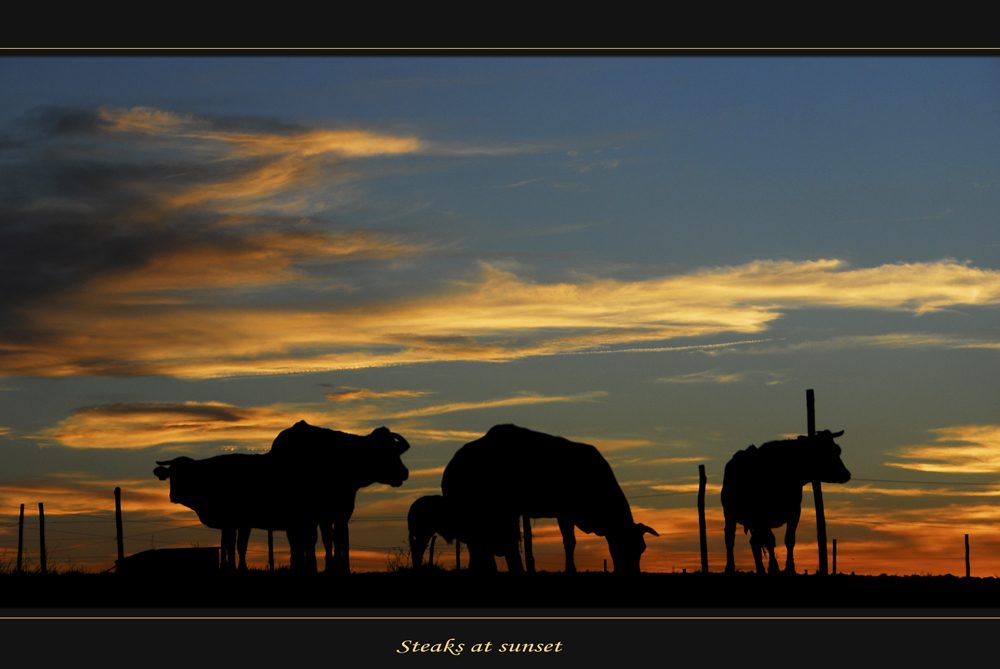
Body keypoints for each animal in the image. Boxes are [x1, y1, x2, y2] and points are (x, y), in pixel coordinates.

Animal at [153, 420, 410, 572]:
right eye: (173, 475)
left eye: (394, 451)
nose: (404, 472)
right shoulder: (239, 522)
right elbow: (233, 545)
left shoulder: (331, 514)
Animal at [442, 422, 660, 576]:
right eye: (628, 546)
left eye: (642, 548)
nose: (633, 573)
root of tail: (452, 464)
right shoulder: (565, 512)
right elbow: (570, 542)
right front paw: (570, 570)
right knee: (486, 544)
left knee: (483, 545)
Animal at [720, 428, 852, 576]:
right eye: (825, 451)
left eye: (837, 450)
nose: (846, 474)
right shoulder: (763, 515)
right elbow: (770, 541)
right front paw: (774, 567)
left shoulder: (794, 511)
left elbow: (789, 539)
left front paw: (790, 568)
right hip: (730, 514)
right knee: (730, 537)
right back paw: (730, 567)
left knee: (754, 541)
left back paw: (760, 569)